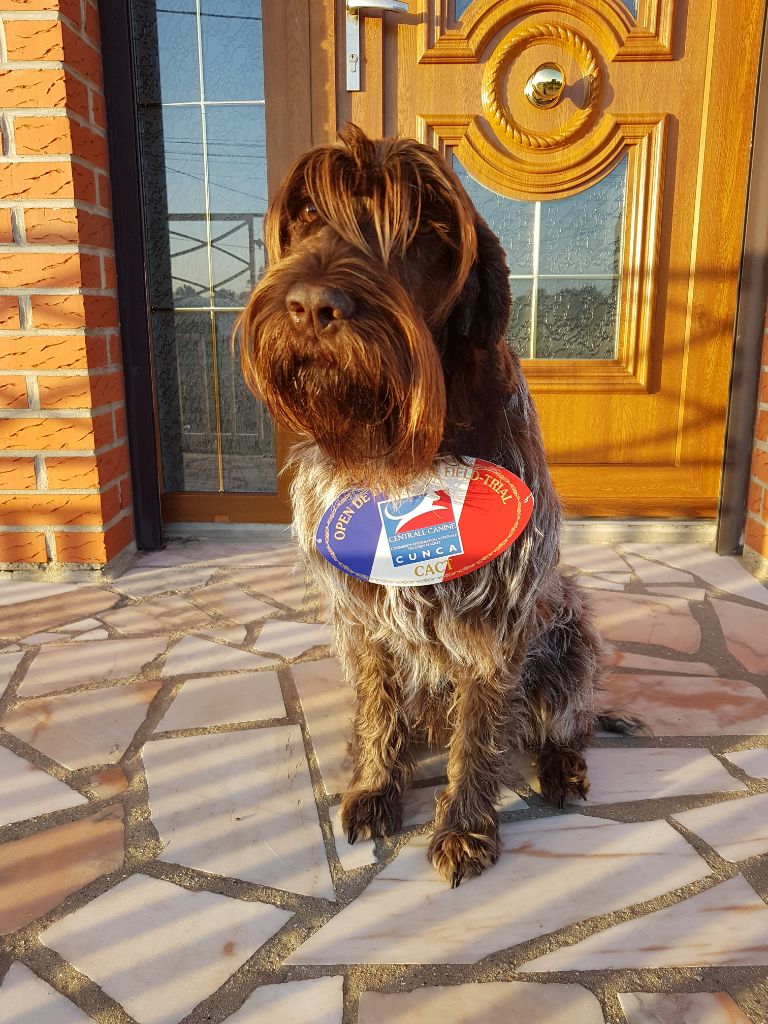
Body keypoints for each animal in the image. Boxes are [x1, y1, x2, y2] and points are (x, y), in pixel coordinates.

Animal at [239, 123, 614, 884]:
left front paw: (466, 827)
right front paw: (375, 785)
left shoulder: (495, 621)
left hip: (570, 640)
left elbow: (478, 733)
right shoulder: (364, 615)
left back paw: (561, 766)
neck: (403, 453)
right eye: (308, 213)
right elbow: (379, 702)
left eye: (422, 228)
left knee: (571, 719)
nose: (313, 307)